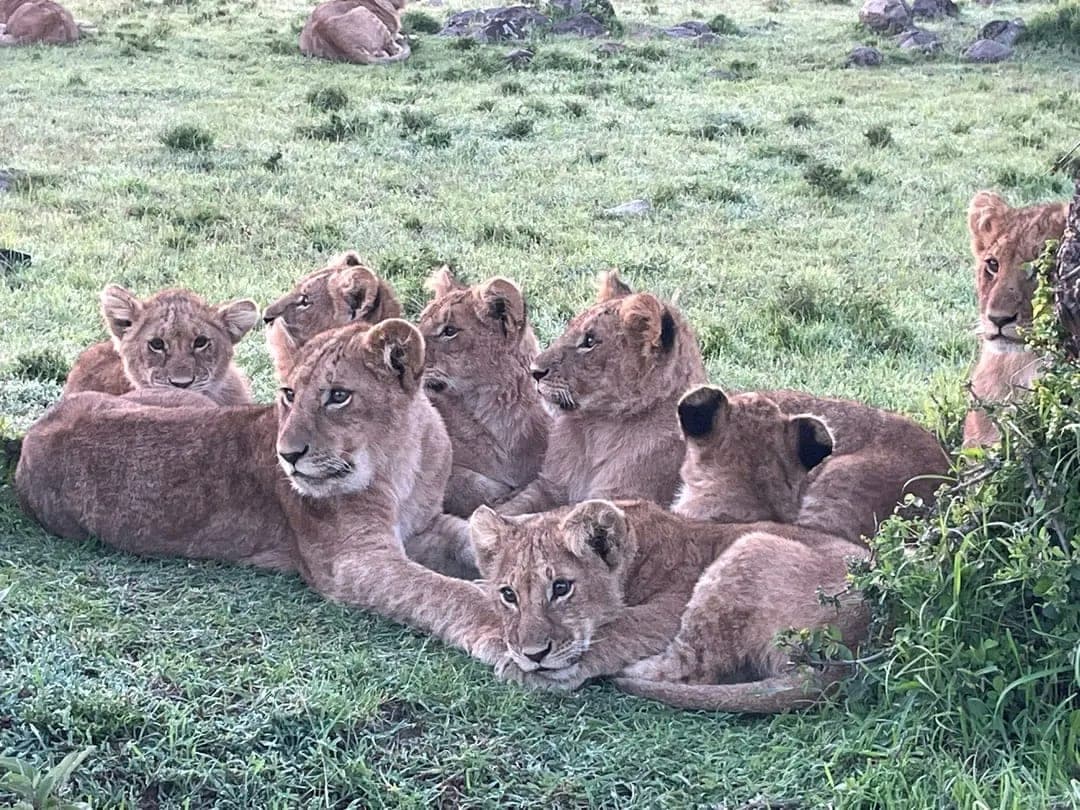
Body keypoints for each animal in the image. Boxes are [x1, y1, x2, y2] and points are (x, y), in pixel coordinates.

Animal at [17, 320, 493, 653]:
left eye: (338, 396)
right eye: (288, 394)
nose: (288, 454)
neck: (400, 463)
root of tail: (38, 428)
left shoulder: (424, 526)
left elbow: (473, 539)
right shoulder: (354, 562)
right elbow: (440, 591)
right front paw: (498, 627)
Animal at [469, 498, 868, 713]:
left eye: (562, 588)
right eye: (508, 595)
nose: (534, 655)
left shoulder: (674, 602)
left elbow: (621, 628)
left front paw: (538, 667)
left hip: (748, 547)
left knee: (694, 668)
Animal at [497, 271, 707, 515]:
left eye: (589, 341)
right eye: (569, 328)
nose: (534, 371)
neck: (594, 431)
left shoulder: (621, 500)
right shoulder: (549, 486)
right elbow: (510, 508)